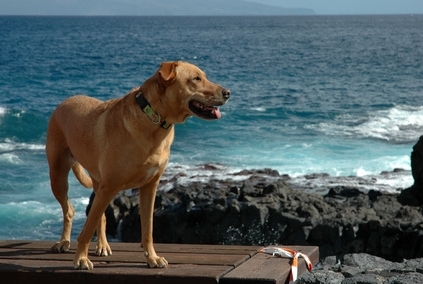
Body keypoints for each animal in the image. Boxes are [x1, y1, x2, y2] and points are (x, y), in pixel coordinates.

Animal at [46, 61, 230, 270]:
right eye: (196, 79)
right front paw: (81, 259)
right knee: (70, 210)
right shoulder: (110, 186)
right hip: (58, 176)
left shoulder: (150, 186)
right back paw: (64, 242)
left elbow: (148, 229)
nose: (227, 93)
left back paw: (102, 245)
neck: (155, 119)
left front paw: (152, 258)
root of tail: (65, 101)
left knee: (100, 216)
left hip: (97, 182)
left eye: (204, 76)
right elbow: (86, 230)